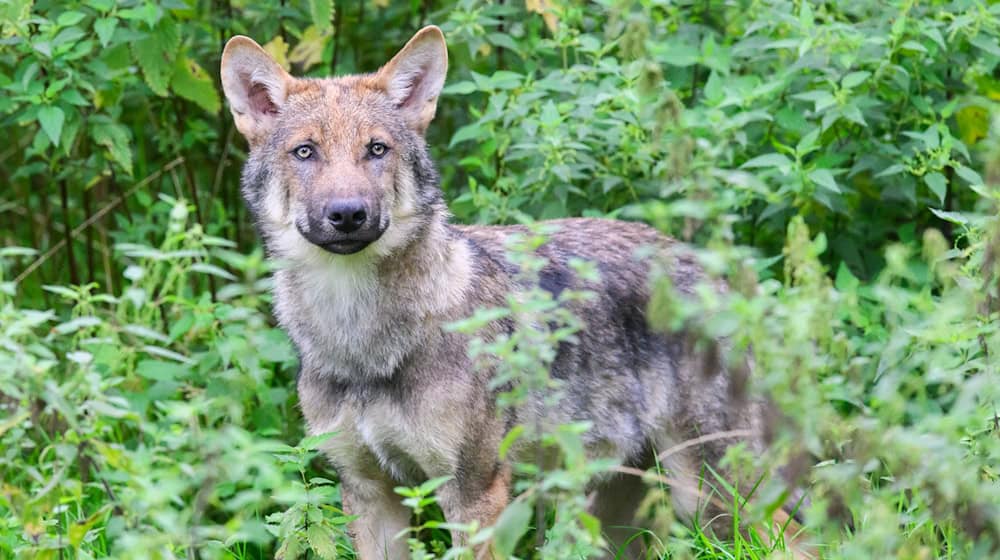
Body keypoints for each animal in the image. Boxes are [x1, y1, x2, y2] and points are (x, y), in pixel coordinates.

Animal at [221, 25, 788, 556]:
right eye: (305, 152)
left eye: (376, 149)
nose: (347, 214)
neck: (360, 339)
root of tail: (715, 271)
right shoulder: (368, 492)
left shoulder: (473, 494)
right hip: (618, 516)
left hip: (714, 498)